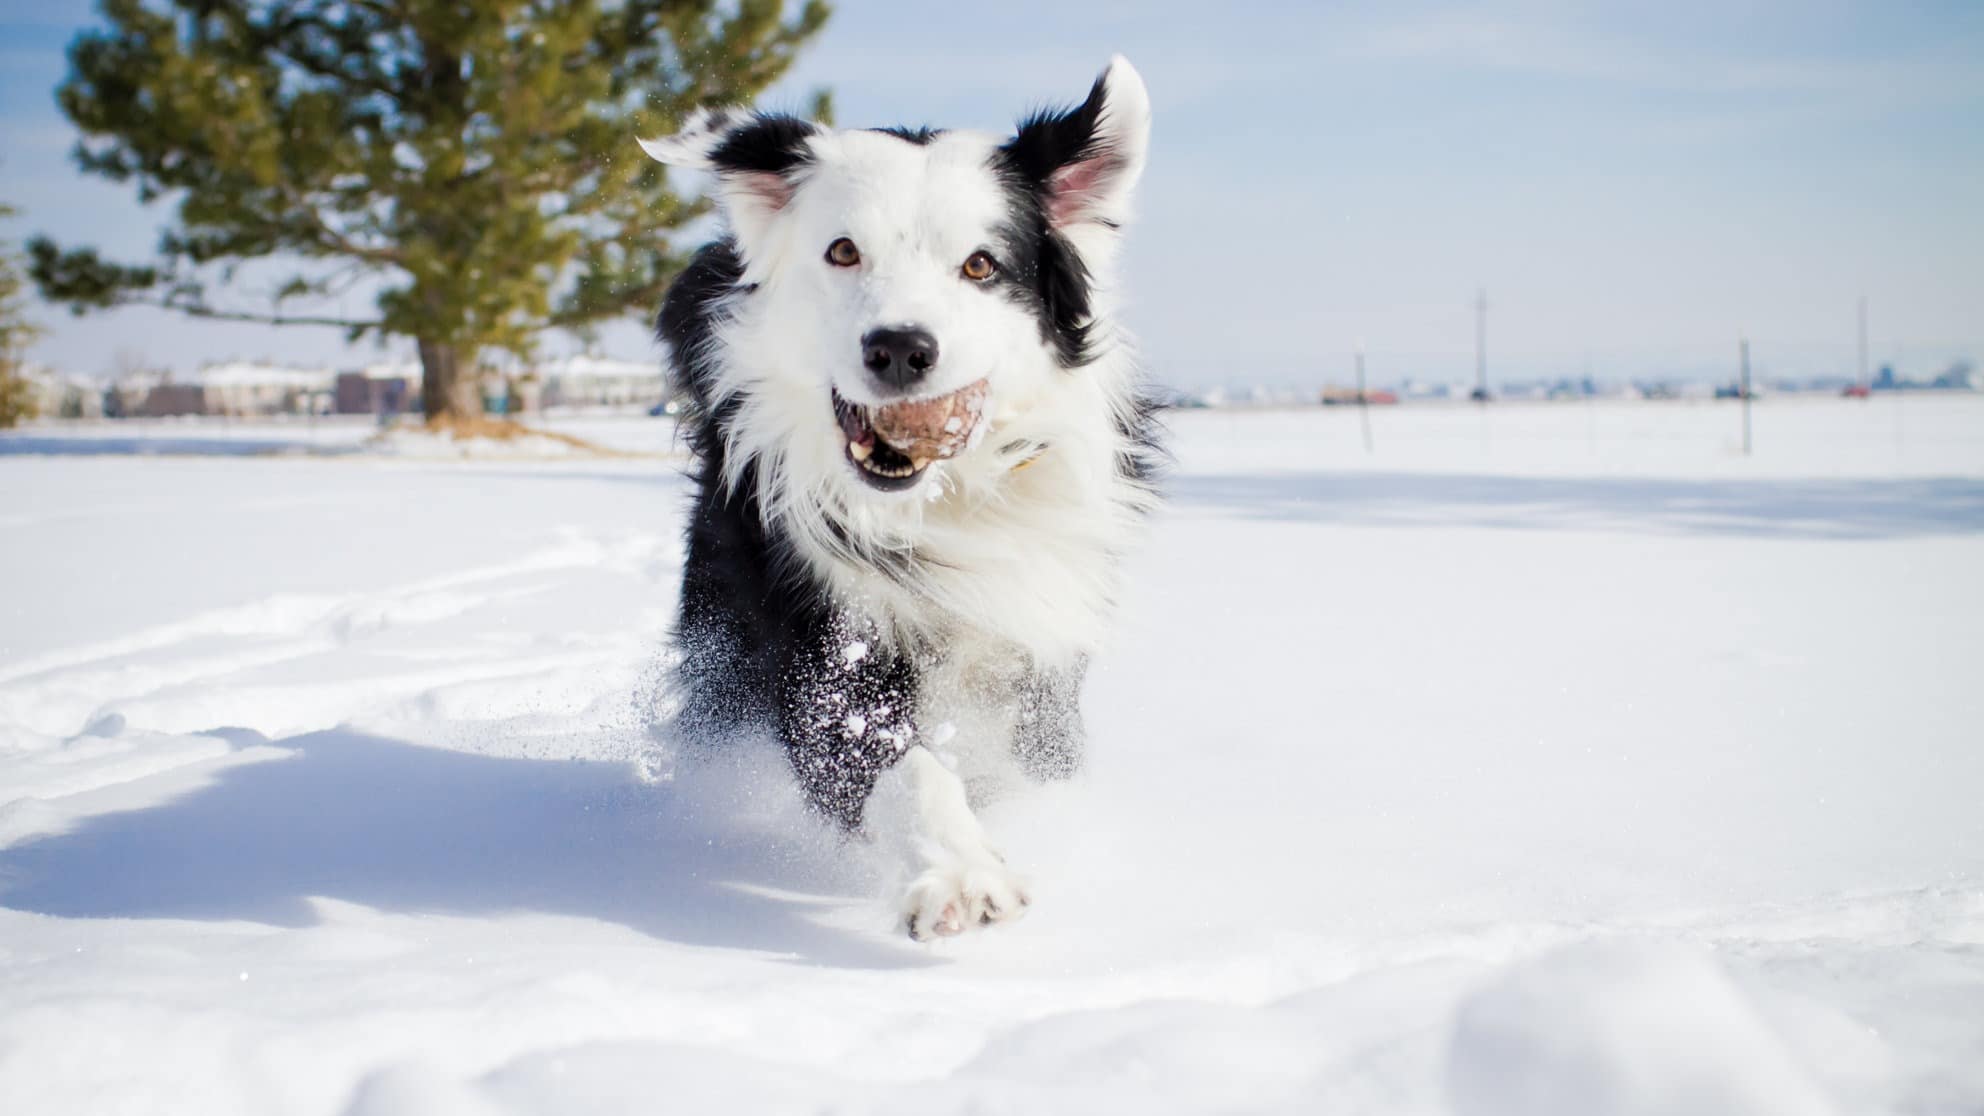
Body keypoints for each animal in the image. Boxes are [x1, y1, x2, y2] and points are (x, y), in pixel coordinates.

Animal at [634, 56, 1158, 933]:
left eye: (981, 265)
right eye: (843, 251)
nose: (901, 349)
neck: (942, 500)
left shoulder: (1041, 647)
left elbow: (1032, 763)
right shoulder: (819, 642)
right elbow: (901, 766)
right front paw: (961, 872)